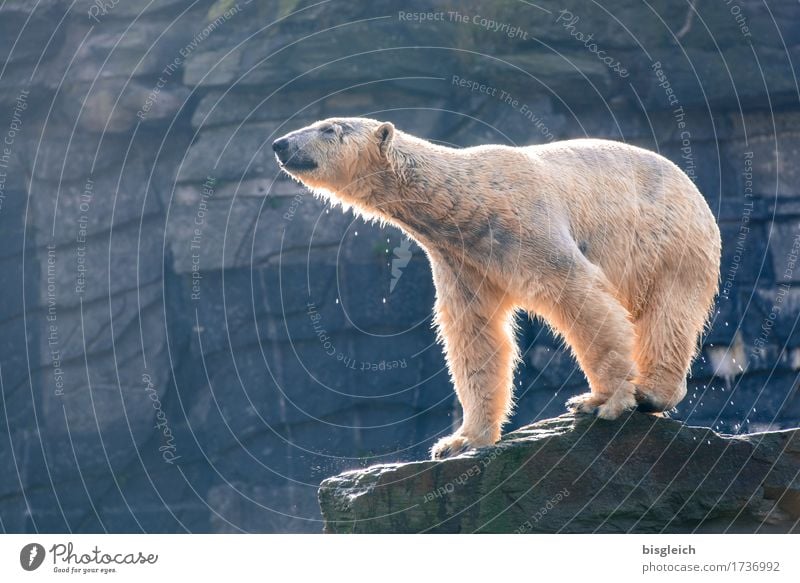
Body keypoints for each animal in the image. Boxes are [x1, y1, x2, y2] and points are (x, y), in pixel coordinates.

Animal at [272, 117, 720, 460]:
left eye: (329, 128)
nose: (280, 143)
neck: (466, 201)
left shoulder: (526, 225)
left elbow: (578, 293)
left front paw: (604, 401)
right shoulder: (462, 261)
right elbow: (474, 335)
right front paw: (460, 441)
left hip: (671, 244)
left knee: (669, 315)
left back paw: (651, 394)